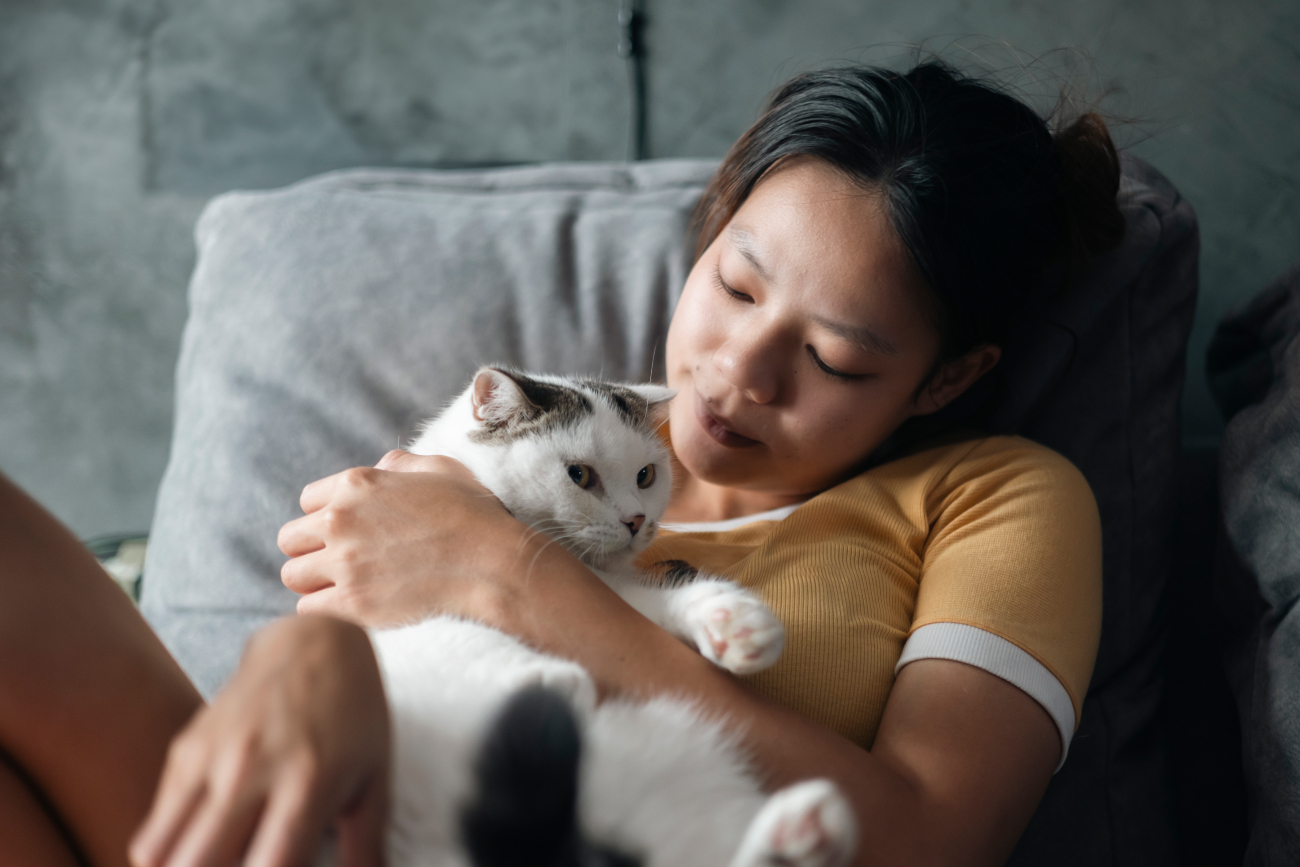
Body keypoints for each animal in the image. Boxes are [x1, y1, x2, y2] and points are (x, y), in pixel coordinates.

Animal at [371, 369, 857, 867]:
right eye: (579, 474)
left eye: (646, 475)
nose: (636, 520)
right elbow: (452, 633)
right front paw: (549, 681)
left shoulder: (616, 589)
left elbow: (651, 603)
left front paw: (734, 625)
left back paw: (804, 835)